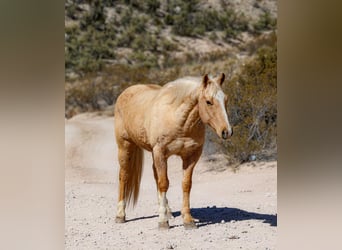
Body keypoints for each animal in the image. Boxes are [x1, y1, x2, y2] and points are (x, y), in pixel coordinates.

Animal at [114, 73, 232, 229]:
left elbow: (186, 184)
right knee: (124, 176)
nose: (227, 132)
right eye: (208, 102)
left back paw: (167, 210)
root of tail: (125, 92)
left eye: (225, 99)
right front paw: (163, 221)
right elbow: (164, 183)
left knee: (155, 176)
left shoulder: (190, 156)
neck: (178, 121)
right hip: (125, 147)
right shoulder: (161, 153)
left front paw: (187, 220)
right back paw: (120, 215)